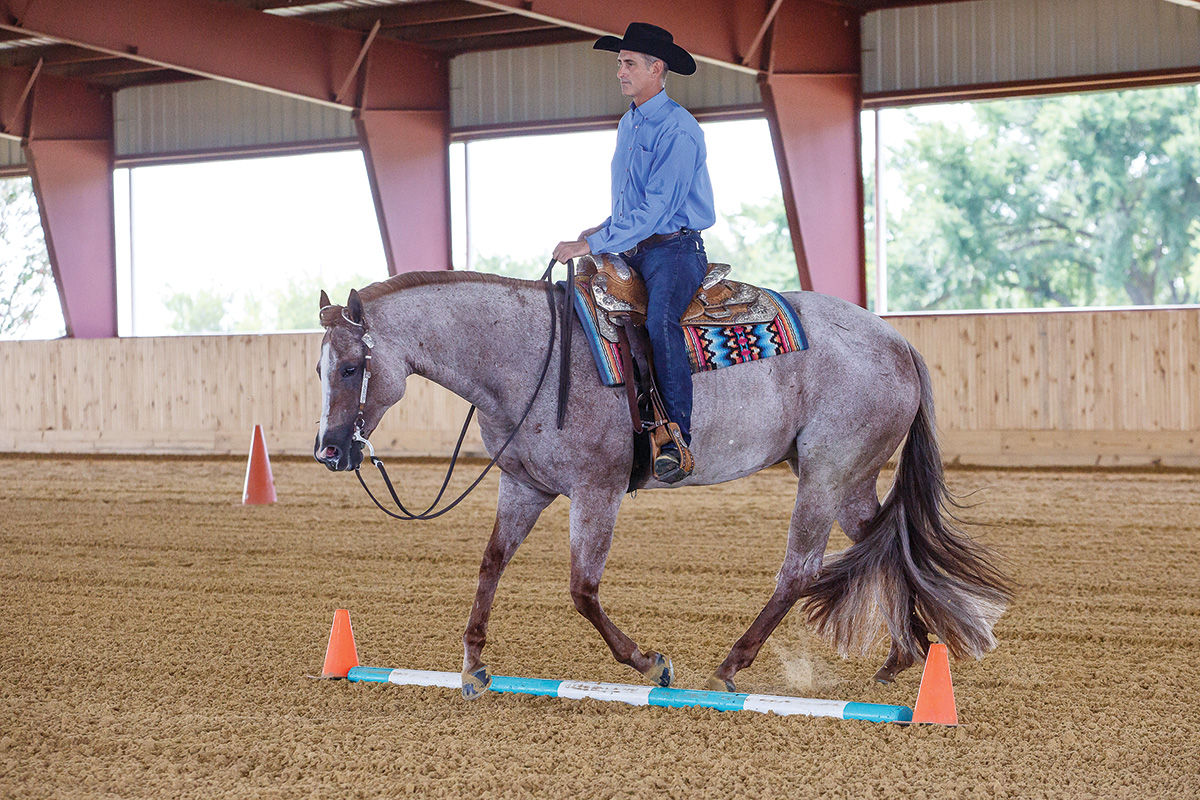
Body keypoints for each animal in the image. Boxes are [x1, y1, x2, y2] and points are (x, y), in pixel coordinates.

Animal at [314, 268, 1008, 695]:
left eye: (350, 366)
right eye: (319, 367)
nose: (328, 450)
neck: (529, 356)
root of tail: (897, 341)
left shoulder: (597, 491)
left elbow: (582, 588)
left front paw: (650, 662)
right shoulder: (524, 486)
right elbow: (491, 564)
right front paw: (474, 665)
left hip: (826, 473)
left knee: (801, 570)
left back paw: (730, 666)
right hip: (851, 479)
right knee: (890, 546)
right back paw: (902, 657)